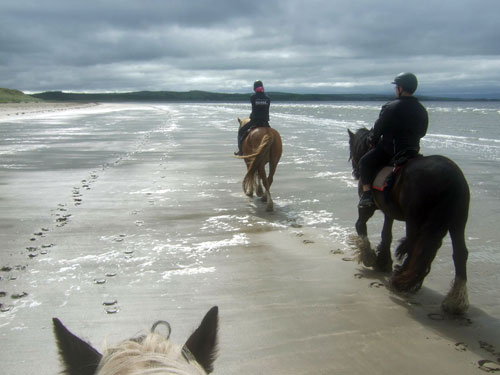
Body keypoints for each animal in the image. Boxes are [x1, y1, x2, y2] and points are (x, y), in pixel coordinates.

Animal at [348, 129, 468, 314]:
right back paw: (455, 300)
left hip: (415, 220)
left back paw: (400, 281)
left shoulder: (367, 208)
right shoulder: (388, 211)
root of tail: (452, 179)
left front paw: (368, 255)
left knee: (415, 247)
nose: (355, 173)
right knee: (459, 254)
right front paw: (383, 261)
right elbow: (386, 233)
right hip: (458, 223)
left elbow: (360, 224)